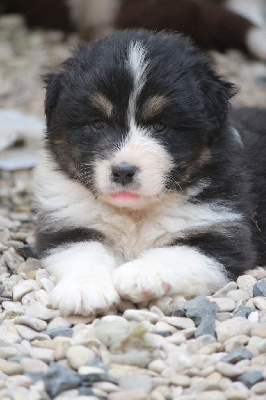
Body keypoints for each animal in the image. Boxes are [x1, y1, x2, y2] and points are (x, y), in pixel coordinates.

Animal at [34, 29, 266, 316]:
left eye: (160, 126)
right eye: (97, 123)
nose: (123, 172)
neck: (135, 214)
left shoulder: (221, 235)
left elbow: (175, 254)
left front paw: (138, 275)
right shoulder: (68, 223)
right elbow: (85, 251)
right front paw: (85, 290)